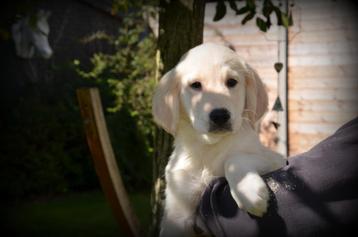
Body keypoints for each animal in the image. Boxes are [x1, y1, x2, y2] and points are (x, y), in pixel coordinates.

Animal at [152, 43, 286, 236]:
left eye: (231, 82)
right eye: (195, 85)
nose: (220, 116)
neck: (209, 146)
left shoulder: (276, 159)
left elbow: (234, 159)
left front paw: (249, 192)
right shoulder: (177, 212)